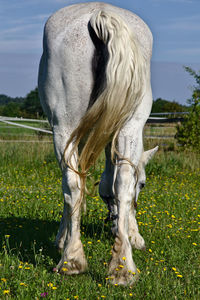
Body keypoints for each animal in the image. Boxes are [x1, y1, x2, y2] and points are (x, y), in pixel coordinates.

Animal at [38, 1, 158, 286]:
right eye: (144, 184)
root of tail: (99, 15)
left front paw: (62, 238)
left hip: (65, 128)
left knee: (73, 184)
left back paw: (72, 260)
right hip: (128, 126)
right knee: (121, 184)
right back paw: (122, 268)